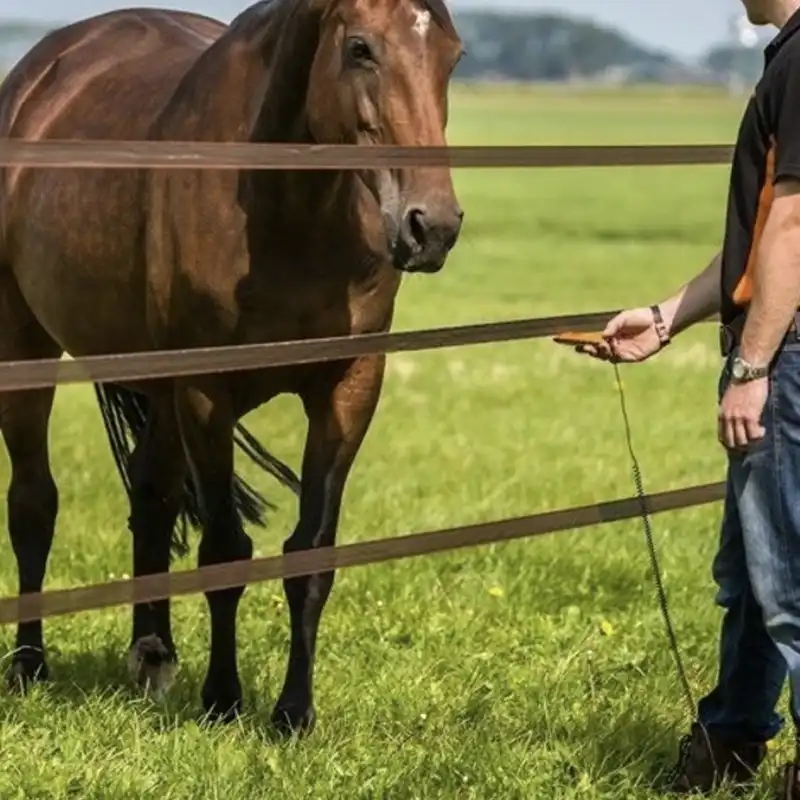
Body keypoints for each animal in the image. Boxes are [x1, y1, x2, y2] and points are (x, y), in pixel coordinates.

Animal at [0, 0, 464, 733]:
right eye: (360, 49)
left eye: (452, 55)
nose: (432, 227)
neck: (288, 214)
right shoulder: (205, 389)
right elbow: (223, 548)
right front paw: (223, 699)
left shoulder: (349, 385)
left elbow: (310, 552)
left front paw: (293, 712)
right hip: (27, 345)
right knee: (33, 503)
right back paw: (28, 664)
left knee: (151, 493)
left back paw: (152, 653)